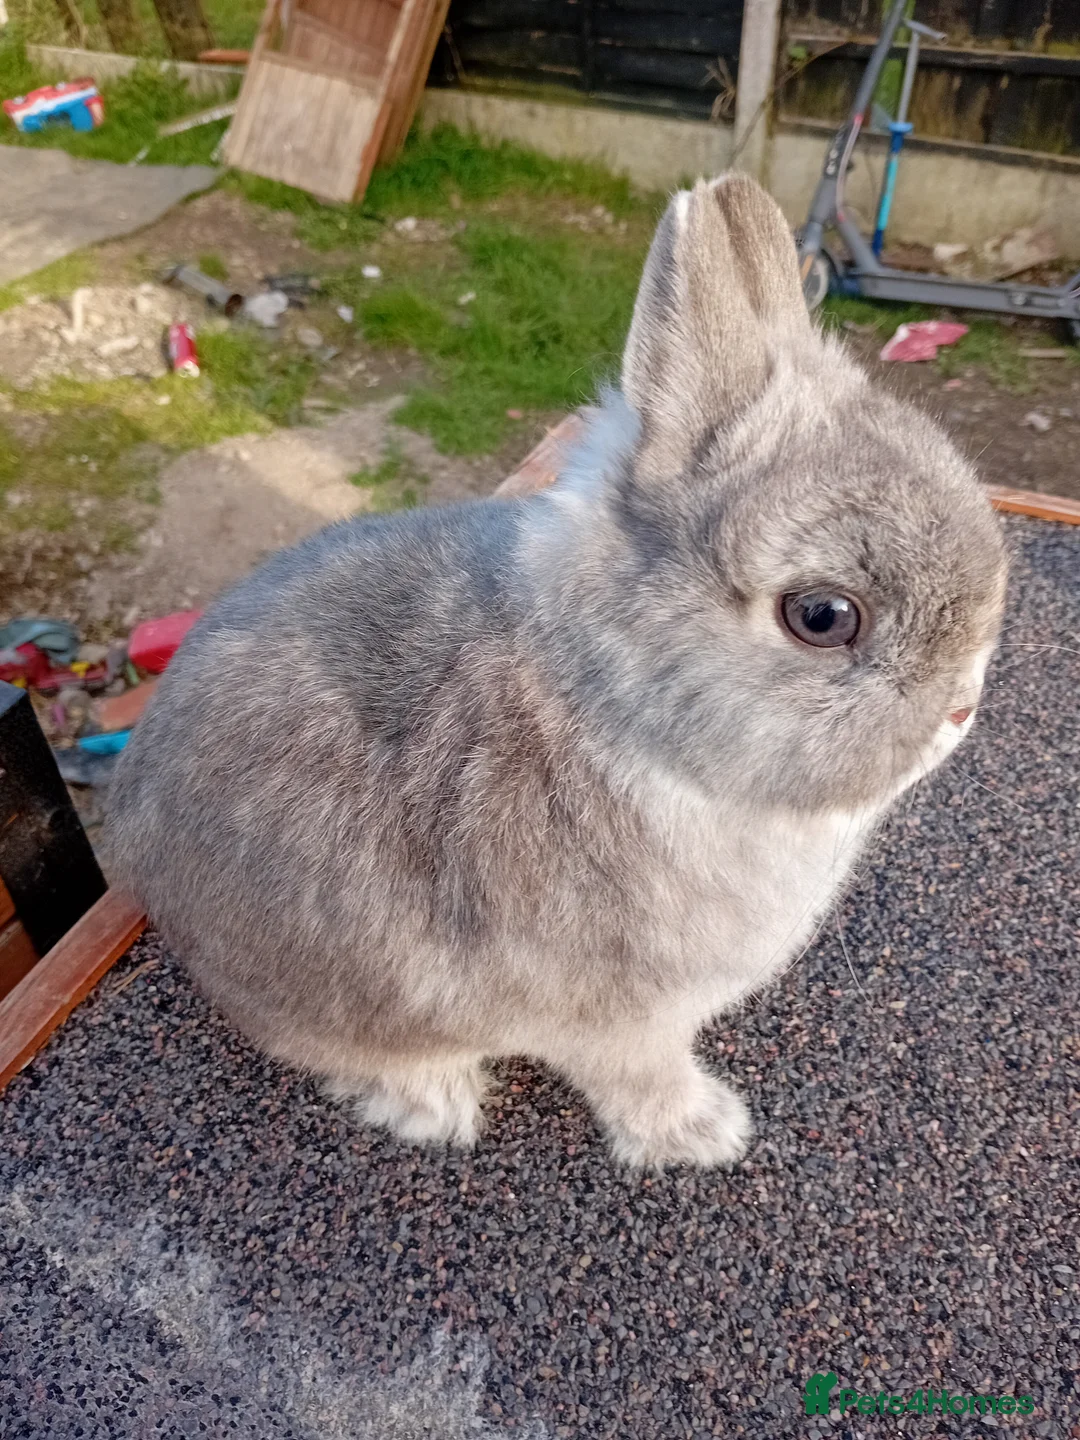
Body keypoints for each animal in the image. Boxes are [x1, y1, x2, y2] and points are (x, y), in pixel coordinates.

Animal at [107, 174, 1007, 1168]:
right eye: (823, 616)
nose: (962, 710)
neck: (617, 713)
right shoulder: (619, 1022)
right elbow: (641, 1079)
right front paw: (707, 1134)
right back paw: (439, 1104)